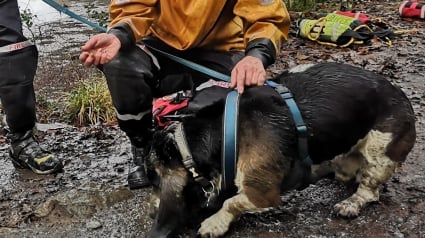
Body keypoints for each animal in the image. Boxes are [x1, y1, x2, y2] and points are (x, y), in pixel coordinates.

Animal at [145, 62, 414, 237]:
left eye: (155, 181)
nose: (151, 210)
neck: (224, 131)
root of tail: (401, 94)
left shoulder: (262, 193)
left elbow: (231, 202)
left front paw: (214, 223)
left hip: (381, 154)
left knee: (370, 190)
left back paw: (350, 203)